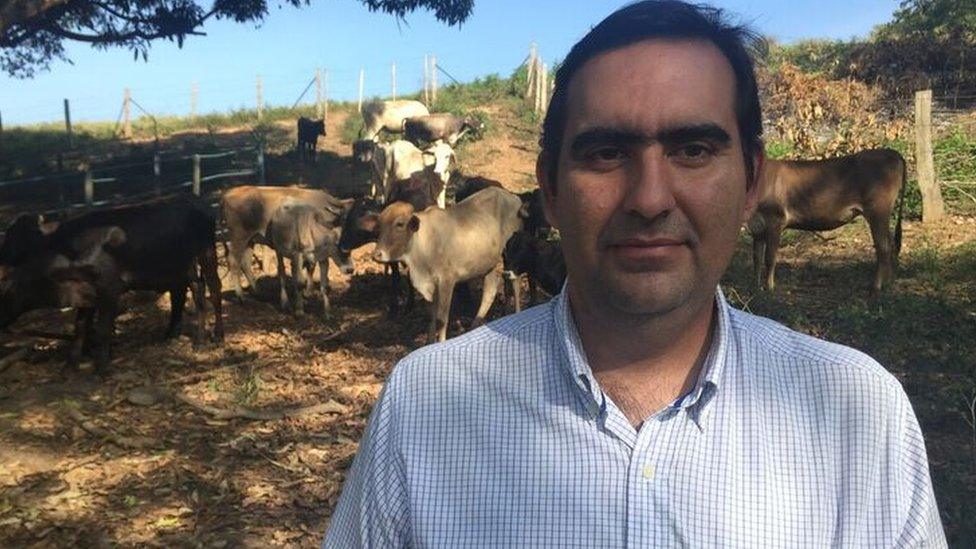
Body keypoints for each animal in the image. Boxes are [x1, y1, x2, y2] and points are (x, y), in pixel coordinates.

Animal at [221, 185, 354, 300]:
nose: (350, 270)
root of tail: (229, 193)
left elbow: (310, 267)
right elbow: (310, 267)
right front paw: (307, 292)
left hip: (250, 240)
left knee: (245, 263)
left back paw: (258, 292)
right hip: (239, 238)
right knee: (233, 261)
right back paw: (240, 295)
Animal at [370, 186, 524, 340]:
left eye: (400, 224)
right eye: (380, 225)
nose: (377, 254)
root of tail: (513, 197)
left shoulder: (447, 281)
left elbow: (441, 320)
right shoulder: (431, 285)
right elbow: (431, 317)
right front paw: (429, 341)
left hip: (510, 253)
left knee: (514, 282)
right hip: (489, 265)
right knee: (490, 291)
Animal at [752, 144, 912, 292]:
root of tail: (892, 152)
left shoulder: (775, 219)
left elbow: (769, 257)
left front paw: (769, 288)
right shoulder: (757, 227)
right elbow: (757, 258)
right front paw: (755, 288)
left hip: (878, 211)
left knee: (883, 247)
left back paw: (877, 287)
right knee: (890, 245)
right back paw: (888, 284)